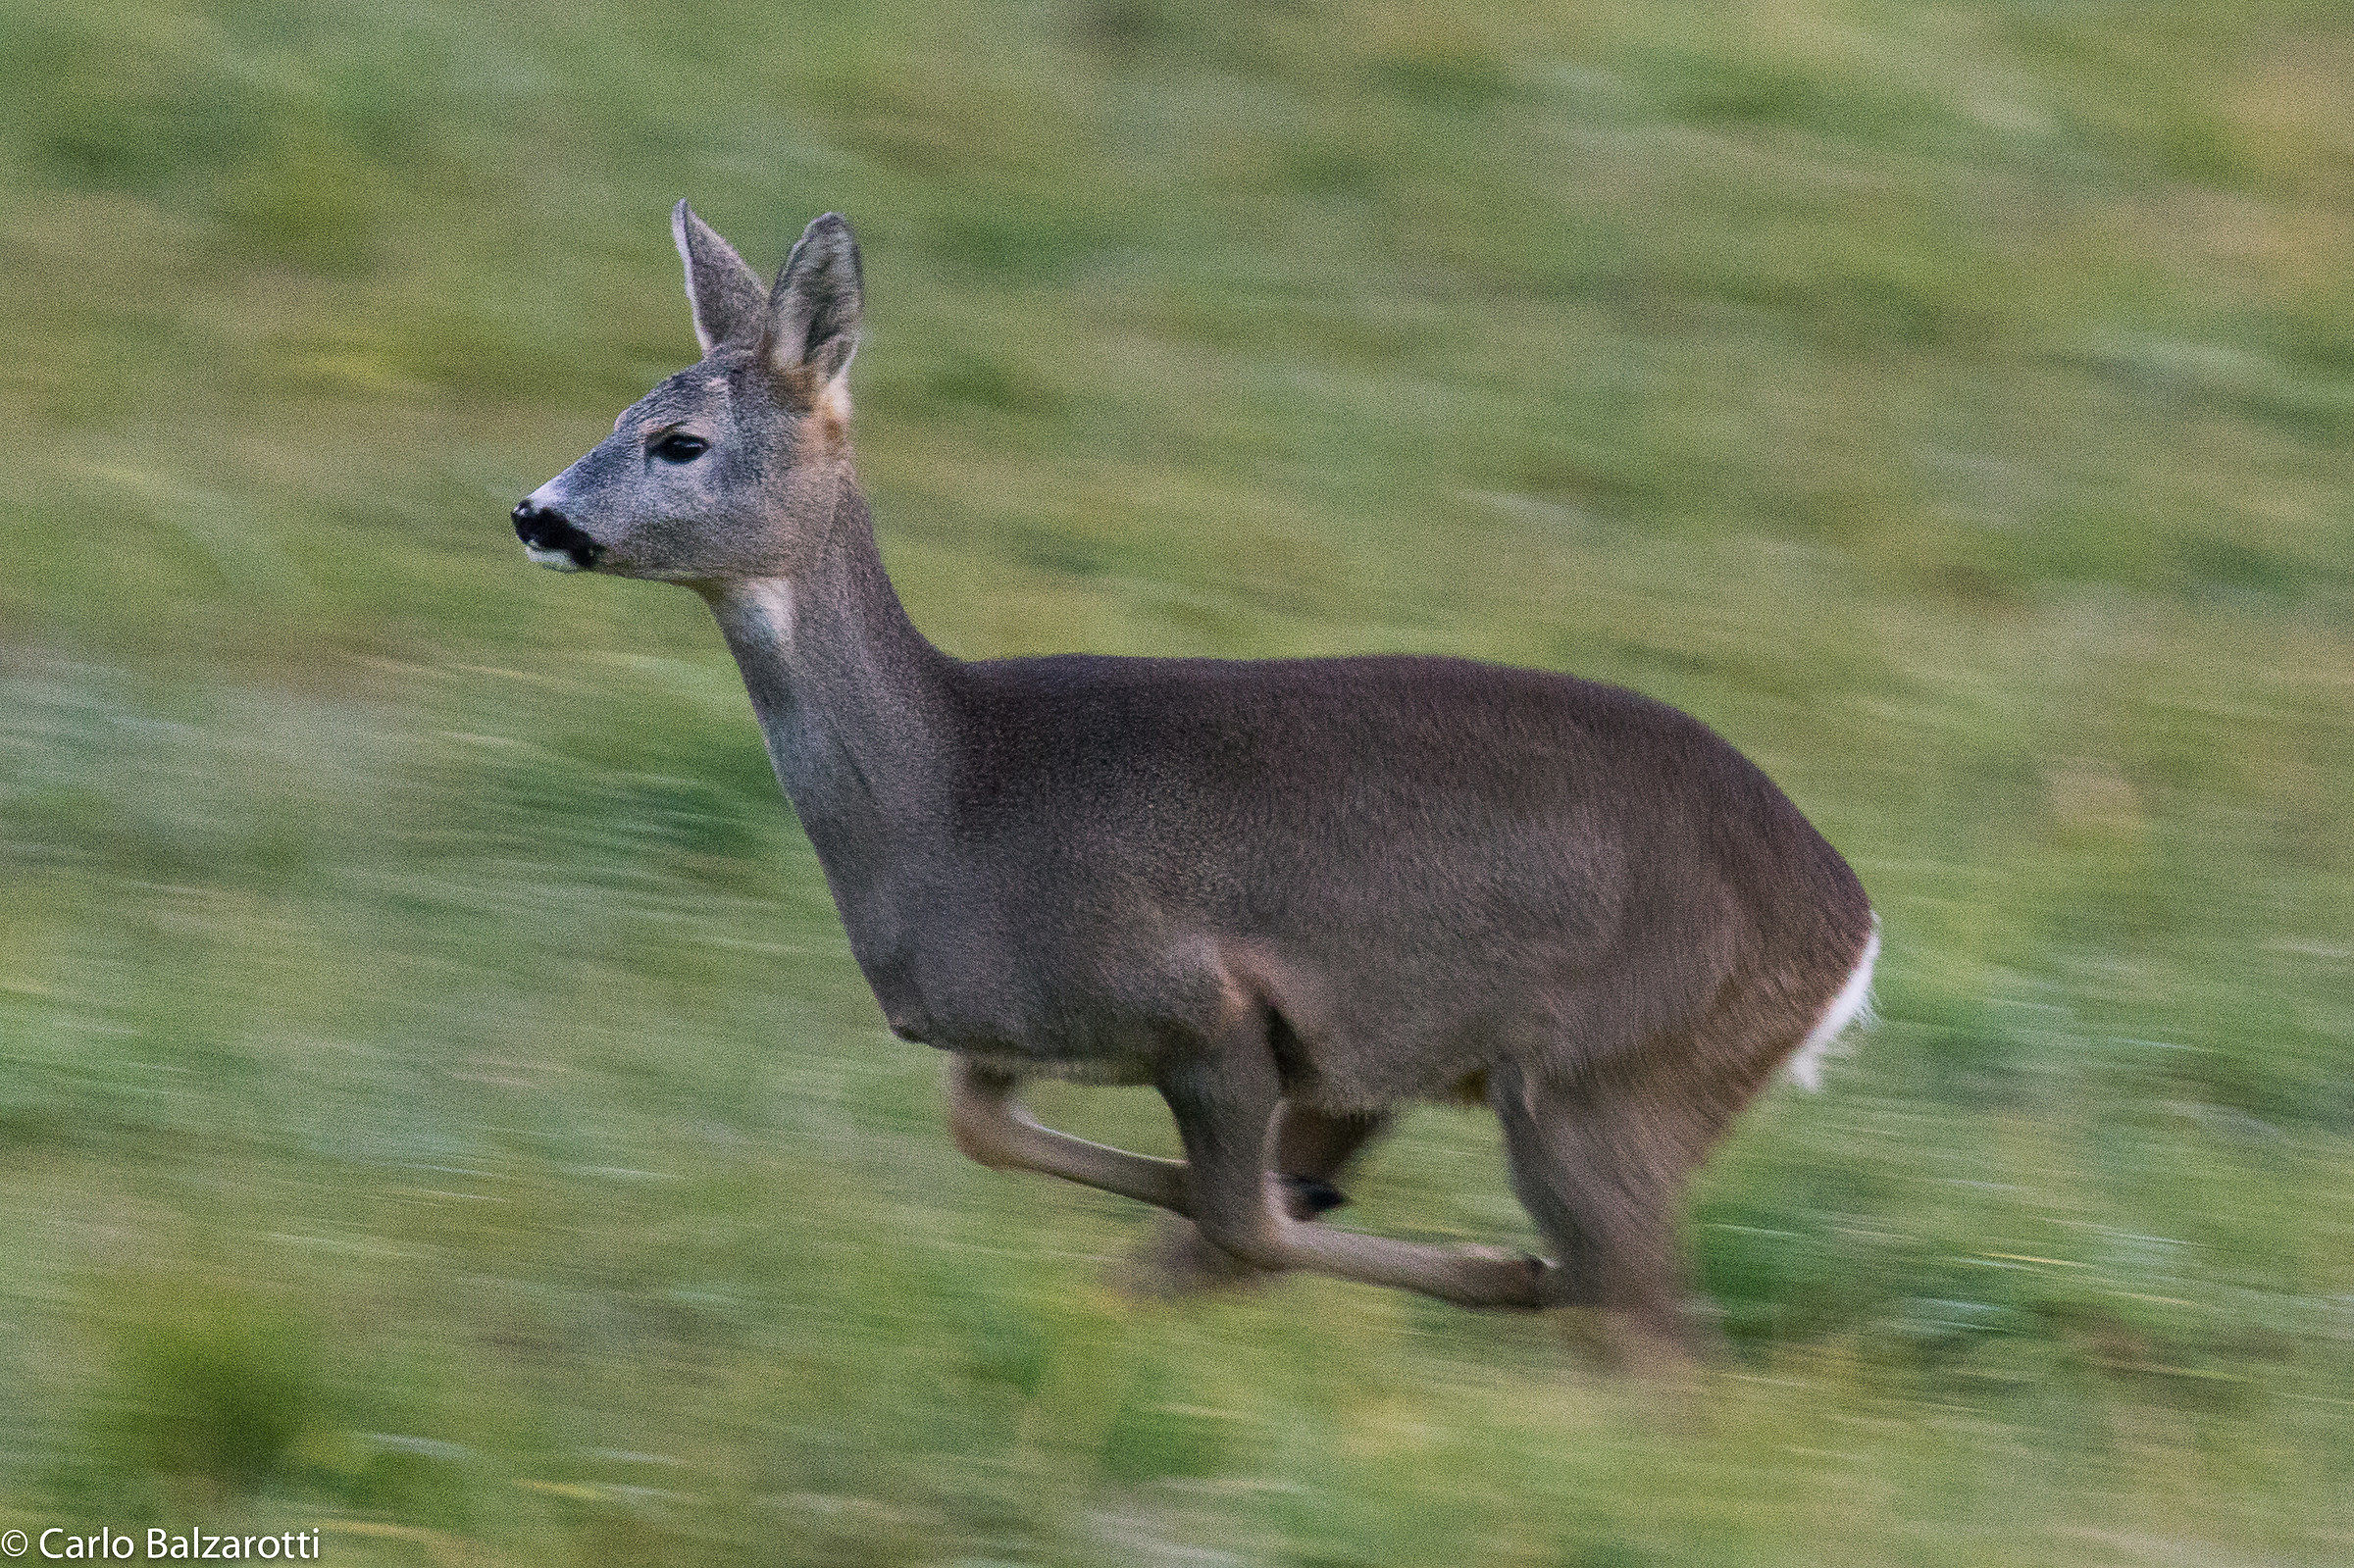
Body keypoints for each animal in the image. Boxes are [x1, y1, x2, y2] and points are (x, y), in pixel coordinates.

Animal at [512, 204, 1879, 1357]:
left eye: (680, 441)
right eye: (623, 412)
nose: (534, 512)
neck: (954, 796)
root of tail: (1851, 926)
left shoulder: (1202, 1003)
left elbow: (1237, 1222)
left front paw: (1485, 1267)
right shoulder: (1026, 1029)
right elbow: (992, 1133)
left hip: (1610, 1078)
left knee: (1645, 1322)